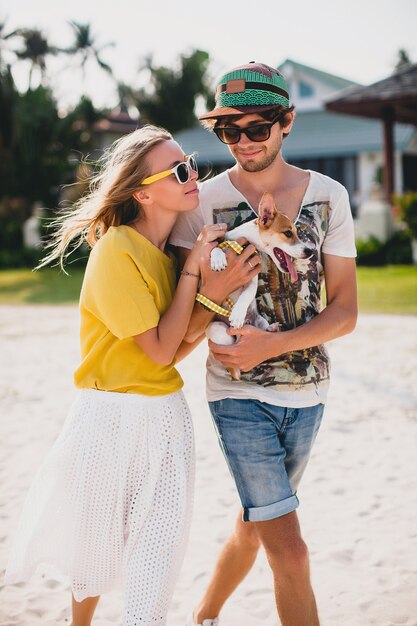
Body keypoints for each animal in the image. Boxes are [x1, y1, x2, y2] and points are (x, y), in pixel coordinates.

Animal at [205, 190, 312, 378]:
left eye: (297, 233)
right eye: (288, 233)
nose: (310, 251)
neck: (244, 242)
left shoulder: (252, 276)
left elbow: (247, 294)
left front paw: (238, 314)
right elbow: (215, 246)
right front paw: (218, 259)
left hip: (259, 320)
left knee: (261, 328)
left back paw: (271, 328)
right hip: (217, 329)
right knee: (230, 342)